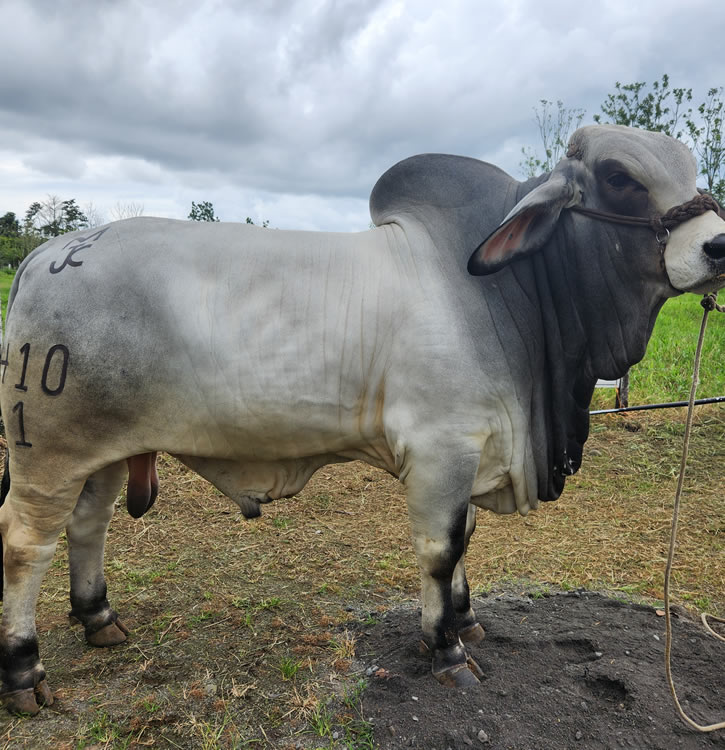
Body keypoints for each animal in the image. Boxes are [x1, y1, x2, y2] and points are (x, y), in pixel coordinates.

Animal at [1, 125, 724, 716]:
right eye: (620, 177)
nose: (718, 245)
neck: (510, 297)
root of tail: (42, 256)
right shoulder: (440, 449)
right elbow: (440, 550)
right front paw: (445, 650)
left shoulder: (470, 447)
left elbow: (464, 541)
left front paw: (465, 620)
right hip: (47, 451)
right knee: (25, 543)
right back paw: (24, 671)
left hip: (105, 449)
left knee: (88, 525)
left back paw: (99, 618)